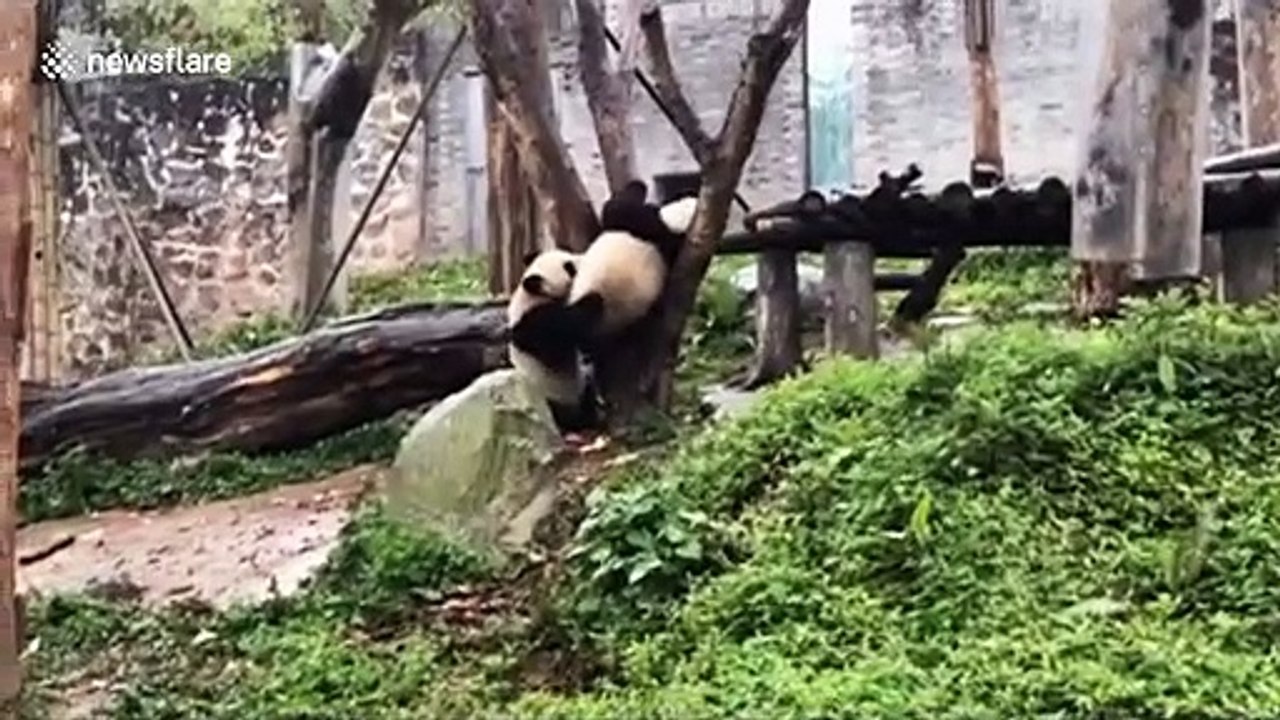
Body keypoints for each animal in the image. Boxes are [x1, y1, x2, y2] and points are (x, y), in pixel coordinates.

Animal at [507, 248, 600, 434]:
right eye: (570, 267)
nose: (586, 258)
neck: (531, 296)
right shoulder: (536, 324)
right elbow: (569, 327)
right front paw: (594, 298)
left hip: (580, 385)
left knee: (588, 388)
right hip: (548, 396)